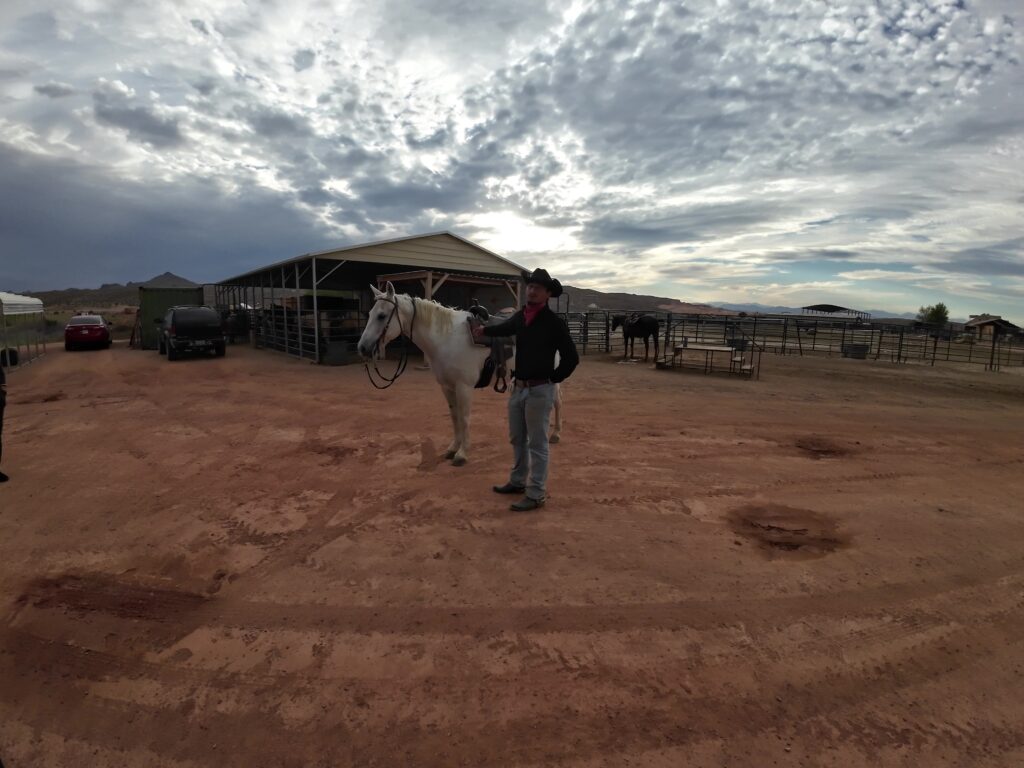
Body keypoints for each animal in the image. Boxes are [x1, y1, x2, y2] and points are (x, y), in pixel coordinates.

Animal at [356, 280, 565, 466]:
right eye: (370, 313)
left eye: (382, 315)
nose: (363, 348)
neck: (446, 338)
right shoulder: (447, 387)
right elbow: (455, 417)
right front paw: (452, 448)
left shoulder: (463, 387)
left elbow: (464, 419)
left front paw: (462, 454)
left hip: (550, 380)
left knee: (556, 403)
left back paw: (555, 434)